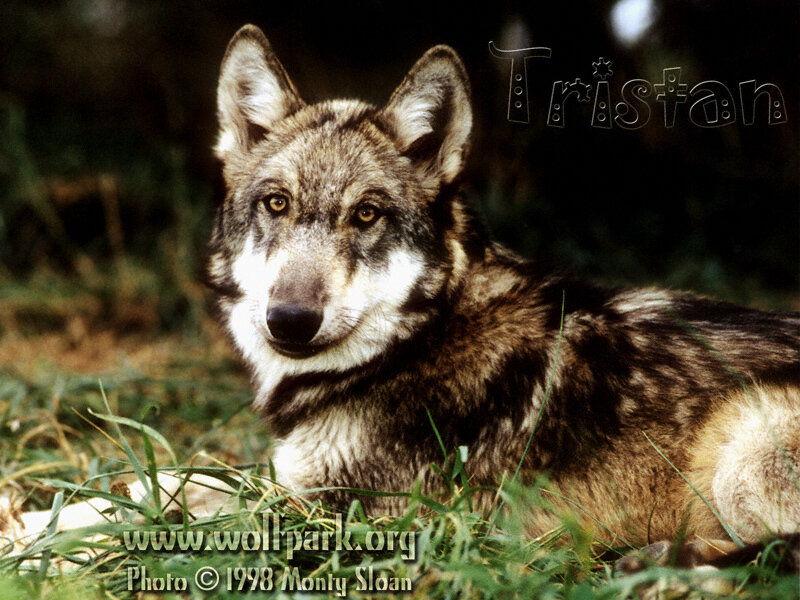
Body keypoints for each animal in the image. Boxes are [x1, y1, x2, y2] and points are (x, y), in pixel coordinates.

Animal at [3, 24, 798, 568]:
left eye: (366, 215)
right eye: (277, 204)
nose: (290, 320)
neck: (420, 339)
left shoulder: (348, 513)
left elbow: (177, 516)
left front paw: (56, 550)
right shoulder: (294, 478)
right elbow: (167, 479)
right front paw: (32, 521)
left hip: (743, 443)